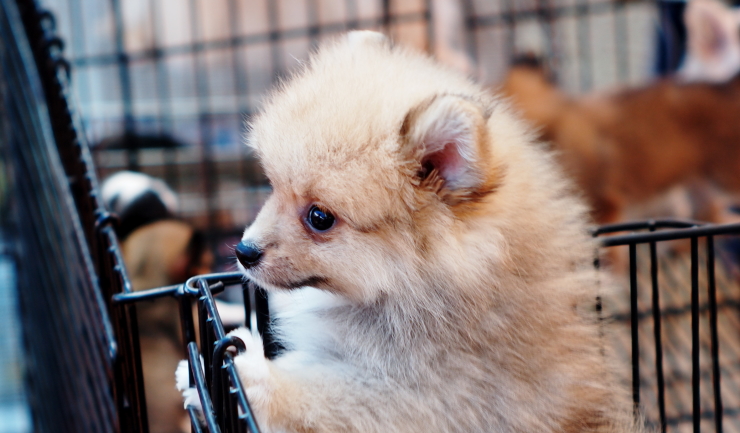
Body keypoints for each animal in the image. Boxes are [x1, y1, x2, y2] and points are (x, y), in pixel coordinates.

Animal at [185, 31, 636, 432]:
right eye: (272, 186)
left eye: (319, 217)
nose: (244, 251)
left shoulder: (432, 397)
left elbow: (324, 396)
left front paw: (251, 377)